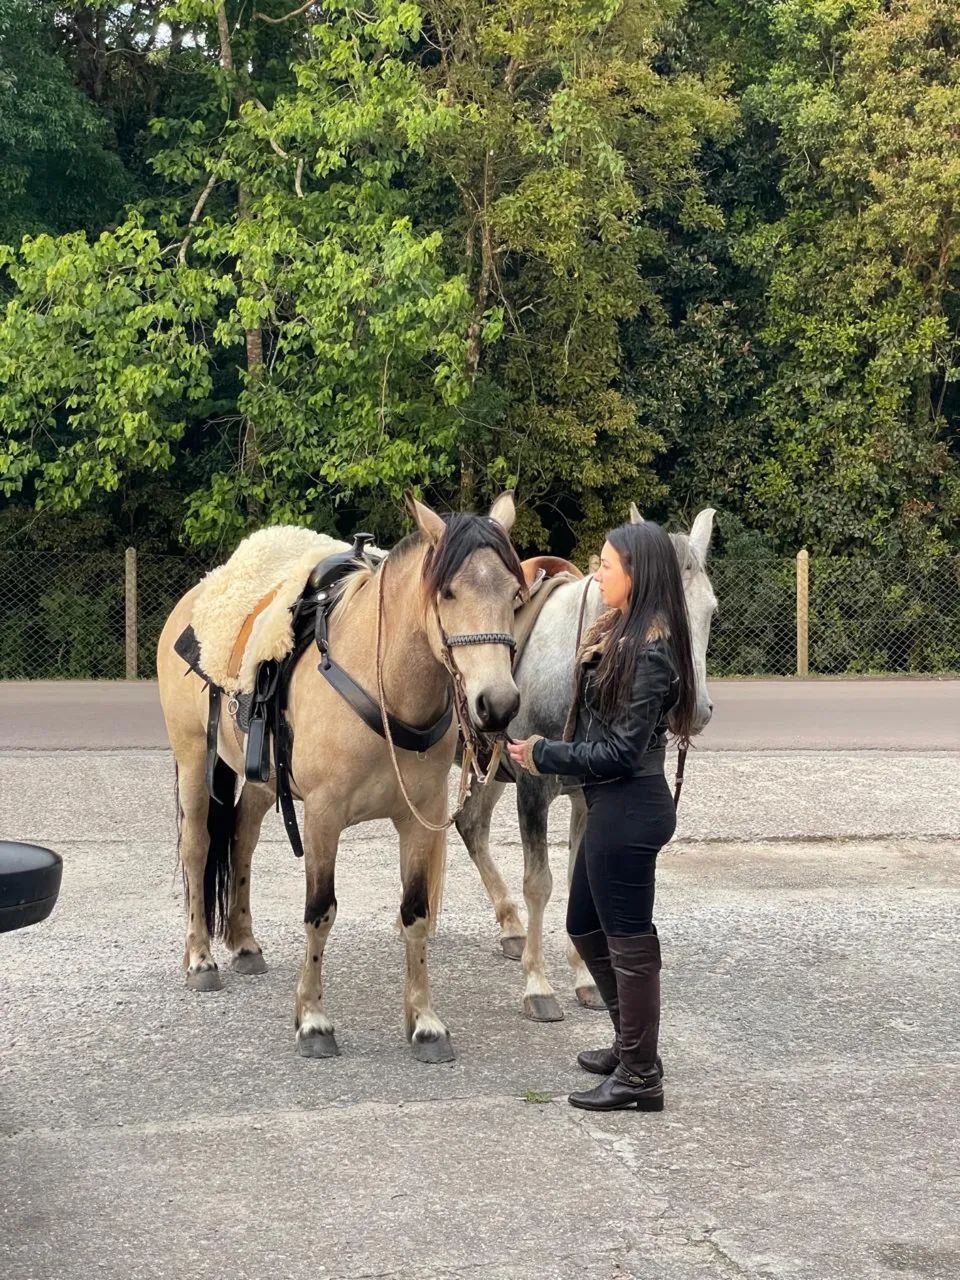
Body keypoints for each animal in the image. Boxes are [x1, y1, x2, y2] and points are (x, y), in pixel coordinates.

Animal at [156, 493, 524, 1063]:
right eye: (448, 591)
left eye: (514, 593)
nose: (498, 704)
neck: (383, 685)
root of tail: (193, 601)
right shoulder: (323, 817)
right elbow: (320, 911)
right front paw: (312, 1019)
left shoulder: (420, 817)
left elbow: (415, 913)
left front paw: (425, 1022)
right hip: (195, 760)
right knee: (197, 848)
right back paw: (200, 958)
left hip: (263, 780)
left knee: (241, 837)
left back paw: (244, 942)